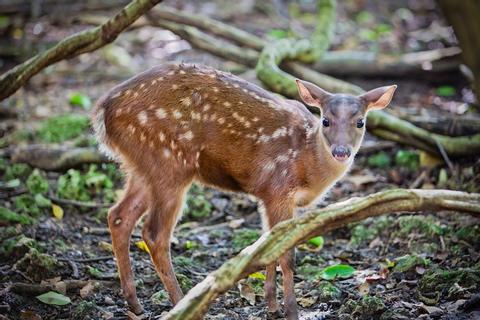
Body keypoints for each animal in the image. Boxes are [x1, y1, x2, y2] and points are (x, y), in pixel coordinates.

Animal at [91, 63, 398, 320]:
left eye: (360, 122)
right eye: (325, 121)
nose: (341, 151)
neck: (306, 165)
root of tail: (102, 111)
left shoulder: (271, 198)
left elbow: (268, 245)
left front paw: (272, 306)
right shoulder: (278, 188)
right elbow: (286, 255)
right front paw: (291, 311)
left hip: (141, 166)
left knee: (118, 216)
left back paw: (135, 303)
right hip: (169, 162)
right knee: (154, 234)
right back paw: (183, 303)